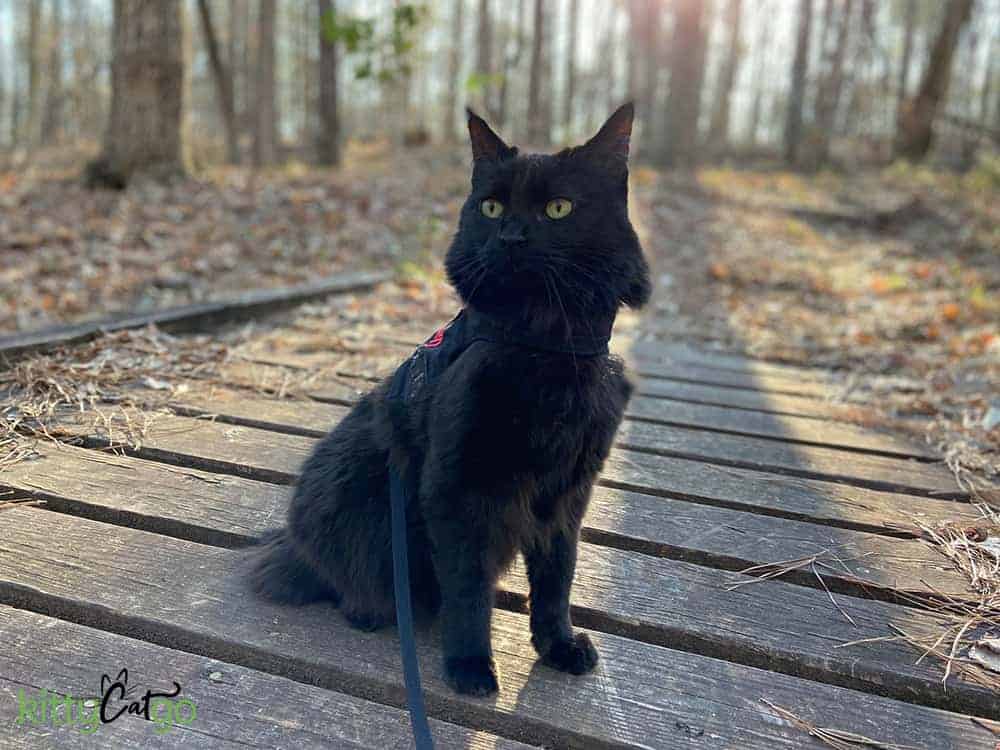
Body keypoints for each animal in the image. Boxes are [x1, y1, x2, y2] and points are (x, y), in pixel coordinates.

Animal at [252, 106, 648, 700]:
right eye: (491, 206)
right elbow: (467, 591)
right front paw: (470, 666)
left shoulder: (567, 492)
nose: (510, 236)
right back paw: (374, 611)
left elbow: (557, 579)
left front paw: (557, 646)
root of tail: (291, 545)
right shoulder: (457, 489)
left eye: (558, 208)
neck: (545, 346)